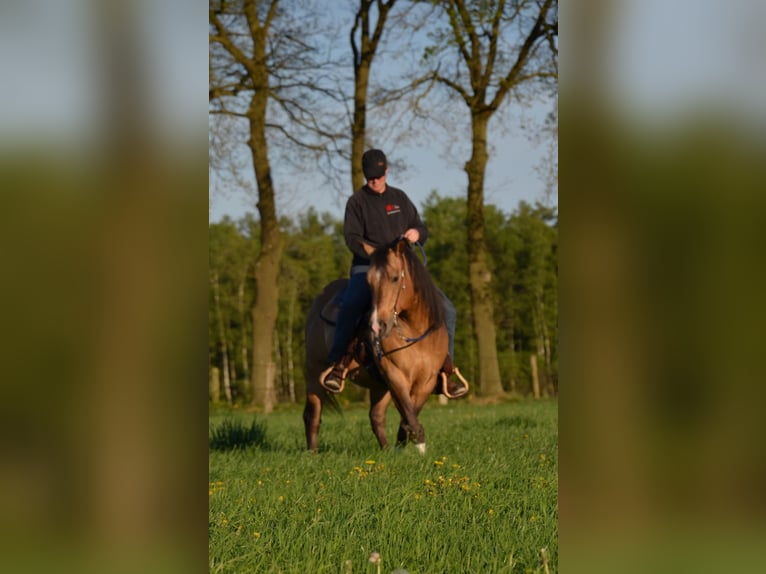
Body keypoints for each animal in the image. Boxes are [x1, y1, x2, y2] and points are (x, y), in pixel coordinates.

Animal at [303, 238, 449, 454]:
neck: (415, 332)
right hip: (314, 374)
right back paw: (312, 453)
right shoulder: (395, 375)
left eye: (395, 278)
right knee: (312, 415)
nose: (377, 326)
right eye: (369, 282)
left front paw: (404, 447)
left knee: (376, 416)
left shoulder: (426, 381)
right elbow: (408, 413)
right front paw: (420, 446)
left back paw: (387, 450)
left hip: (379, 386)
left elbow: (408, 415)